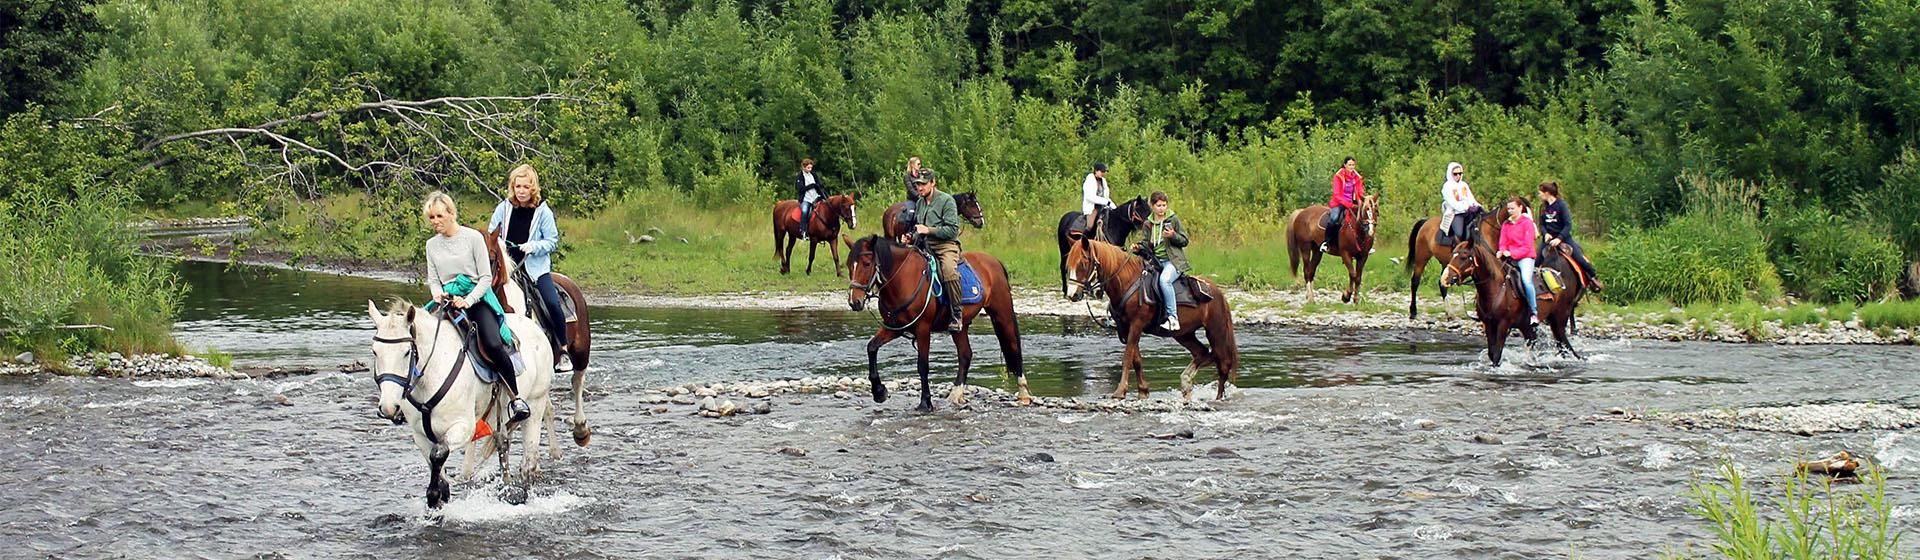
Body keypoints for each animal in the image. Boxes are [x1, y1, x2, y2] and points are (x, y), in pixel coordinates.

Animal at [366, 299, 560, 510]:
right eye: (375, 351)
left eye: (406, 352)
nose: (388, 408)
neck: (433, 372)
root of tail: (536, 328)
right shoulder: (420, 435)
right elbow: (436, 465)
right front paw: (439, 499)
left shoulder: (463, 428)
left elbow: (438, 454)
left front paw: (433, 495)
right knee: (502, 443)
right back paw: (507, 489)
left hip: (536, 403)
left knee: (528, 462)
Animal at [844, 233, 1029, 408]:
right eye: (848, 265)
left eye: (867, 263)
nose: (855, 302)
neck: (903, 279)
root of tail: (994, 261)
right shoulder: (894, 327)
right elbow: (871, 348)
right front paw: (879, 391)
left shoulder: (923, 328)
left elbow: (922, 365)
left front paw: (925, 402)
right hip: (960, 327)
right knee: (965, 355)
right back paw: (955, 395)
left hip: (1002, 313)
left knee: (1013, 346)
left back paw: (1024, 394)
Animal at [1059, 235, 1236, 402]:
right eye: (1068, 266)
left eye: (1083, 263)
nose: (1072, 294)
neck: (1127, 283)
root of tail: (1217, 292)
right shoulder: (1126, 328)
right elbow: (1136, 359)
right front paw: (1143, 391)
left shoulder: (1137, 324)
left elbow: (1127, 357)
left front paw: (1120, 391)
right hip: (1184, 334)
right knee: (1204, 353)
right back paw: (1186, 382)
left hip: (1215, 331)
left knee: (1223, 363)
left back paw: (1218, 397)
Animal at [1443, 227, 1589, 368]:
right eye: (1452, 254)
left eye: (1464, 256)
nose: (1445, 278)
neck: (1496, 289)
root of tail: (1559, 276)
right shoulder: (1488, 324)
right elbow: (1491, 353)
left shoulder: (1503, 324)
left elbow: (1497, 354)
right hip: (1529, 325)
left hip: (1559, 318)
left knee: (1564, 344)